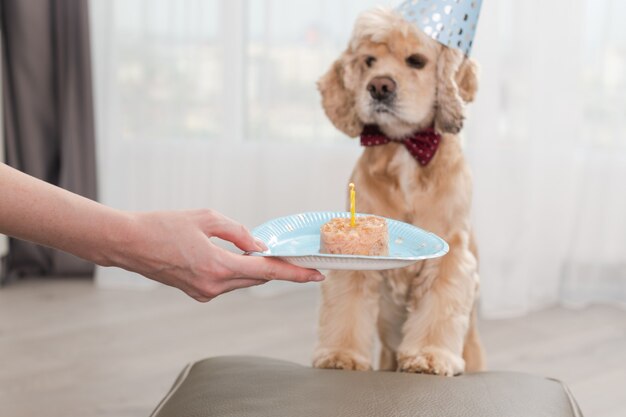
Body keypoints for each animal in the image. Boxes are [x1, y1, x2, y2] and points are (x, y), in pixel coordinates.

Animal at [312, 7, 482, 376]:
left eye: (416, 61)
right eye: (368, 61)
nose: (379, 86)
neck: (406, 149)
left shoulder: (450, 253)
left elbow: (439, 309)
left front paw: (429, 356)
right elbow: (347, 306)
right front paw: (341, 356)